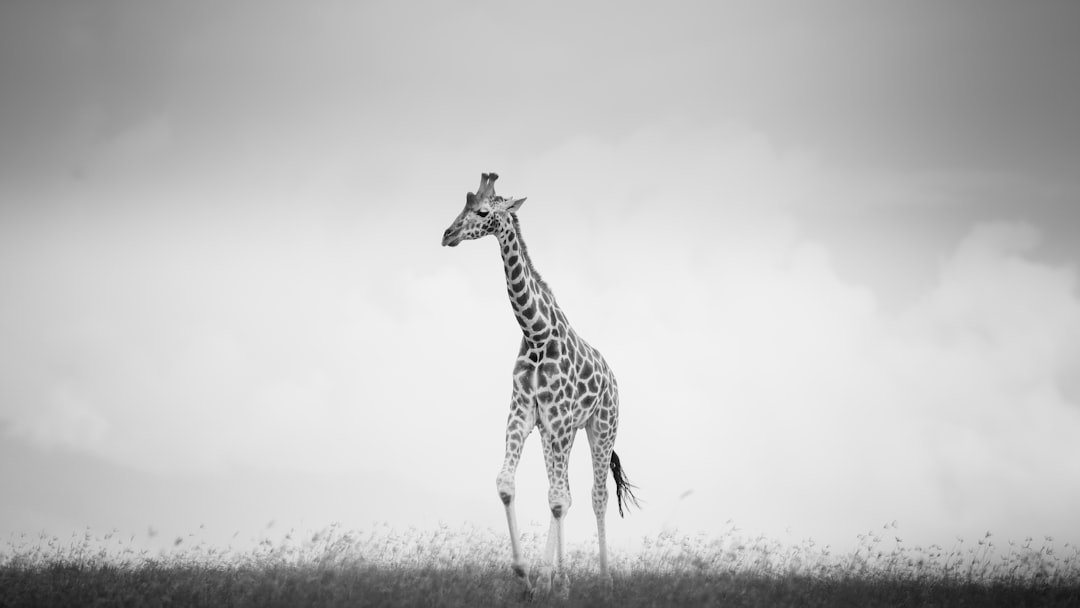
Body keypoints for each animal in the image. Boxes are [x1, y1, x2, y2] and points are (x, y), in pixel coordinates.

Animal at [441, 172, 638, 598]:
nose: (447, 234)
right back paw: (553, 575)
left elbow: (560, 499)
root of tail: (613, 379)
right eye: (463, 205)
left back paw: (603, 579)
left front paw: (556, 581)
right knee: (566, 493)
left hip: (600, 427)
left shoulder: (560, 421)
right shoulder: (525, 414)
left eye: (482, 211)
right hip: (557, 434)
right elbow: (508, 484)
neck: (535, 334)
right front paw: (527, 575)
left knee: (595, 496)